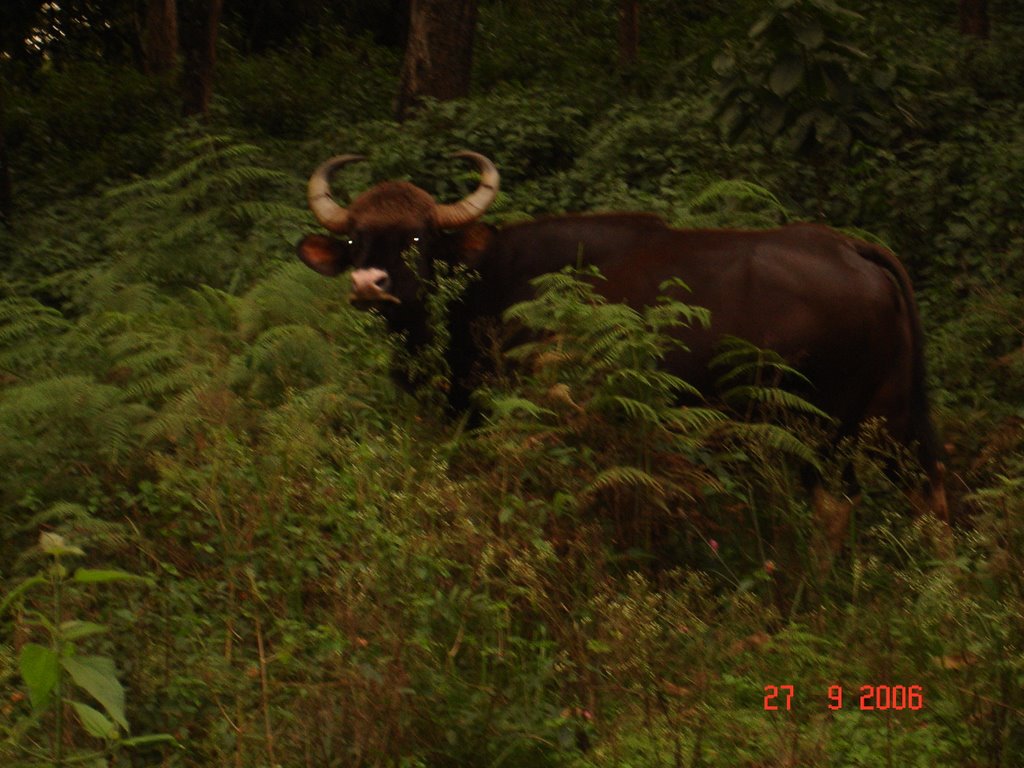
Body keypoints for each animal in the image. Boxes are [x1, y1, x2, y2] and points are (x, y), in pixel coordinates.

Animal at [292, 152, 946, 520]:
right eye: (354, 239)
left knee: (840, 509)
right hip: (892, 420)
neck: (485, 282)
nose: (369, 283)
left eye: (419, 237)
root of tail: (850, 248)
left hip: (825, 428)